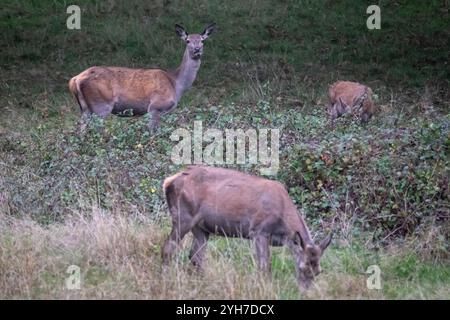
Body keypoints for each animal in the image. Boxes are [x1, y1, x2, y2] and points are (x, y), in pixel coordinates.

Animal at [69, 23, 216, 132]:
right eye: (187, 40)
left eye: (202, 40)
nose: (197, 50)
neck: (176, 84)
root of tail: (75, 79)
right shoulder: (156, 107)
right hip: (101, 105)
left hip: (85, 108)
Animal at [161, 166, 330, 292]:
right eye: (302, 268)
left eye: (318, 272)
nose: (304, 293)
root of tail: (168, 181)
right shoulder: (259, 230)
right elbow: (264, 266)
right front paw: (265, 288)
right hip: (183, 217)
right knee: (168, 247)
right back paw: (165, 279)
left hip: (201, 228)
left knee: (195, 256)